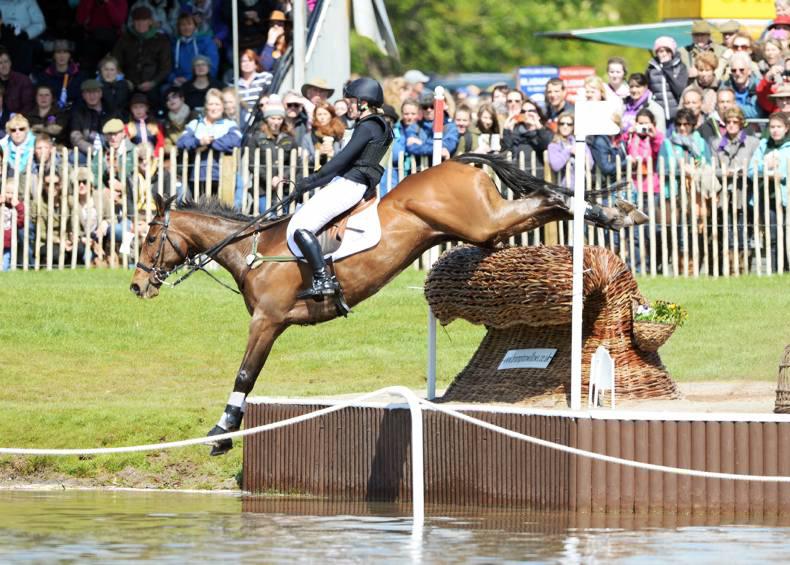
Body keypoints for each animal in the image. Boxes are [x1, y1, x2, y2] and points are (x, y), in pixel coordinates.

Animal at [130, 152, 645, 455]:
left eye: (151, 237)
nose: (137, 286)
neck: (252, 250)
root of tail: (457, 162)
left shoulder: (267, 321)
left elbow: (244, 374)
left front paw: (221, 433)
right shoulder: (272, 323)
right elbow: (248, 374)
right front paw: (225, 430)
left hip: (482, 222)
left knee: (546, 196)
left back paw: (616, 213)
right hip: (485, 229)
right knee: (545, 201)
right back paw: (617, 212)